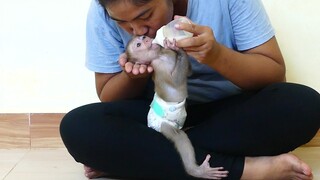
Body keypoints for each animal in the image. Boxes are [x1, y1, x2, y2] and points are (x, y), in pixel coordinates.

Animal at [125, 35, 228, 179]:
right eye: (138, 45)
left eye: (142, 37)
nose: (145, 39)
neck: (160, 55)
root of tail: (152, 125)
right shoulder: (159, 66)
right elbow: (176, 81)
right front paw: (178, 49)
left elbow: (188, 73)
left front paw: (174, 47)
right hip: (165, 125)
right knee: (180, 137)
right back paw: (197, 171)